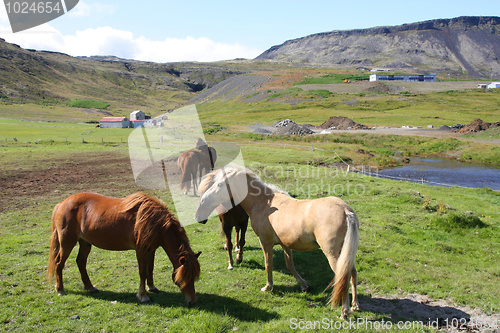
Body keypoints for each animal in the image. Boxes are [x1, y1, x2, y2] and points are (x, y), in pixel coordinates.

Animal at [47, 192, 201, 304]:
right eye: (184, 278)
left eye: (194, 277)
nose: (192, 301)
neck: (157, 224)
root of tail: (61, 204)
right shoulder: (141, 250)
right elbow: (142, 272)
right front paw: (143, 296)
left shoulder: (151, 249)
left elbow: (150, 269)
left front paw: (152, 287)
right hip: (67, 243)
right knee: (59, 263)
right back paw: (60, 289)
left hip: (85, 243)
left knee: (80, 262)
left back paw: (90, 287)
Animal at [195, 165, 360, 318]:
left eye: (220, 185)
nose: (203, 201)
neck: (263, 204)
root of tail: (346, 211)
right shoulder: (285, 245)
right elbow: (290, 266)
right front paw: (303, 285)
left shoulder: (266, 243)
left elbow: (269, 264)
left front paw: (268, 287)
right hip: (345, 254)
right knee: (352, 273)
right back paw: (354, 305)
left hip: (333, 255)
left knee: (343, 276)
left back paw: (344, 311)